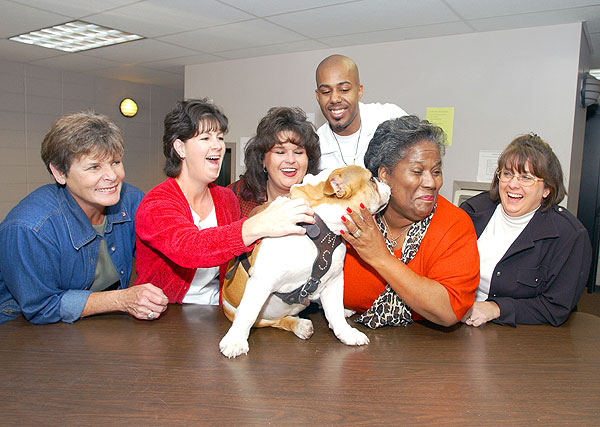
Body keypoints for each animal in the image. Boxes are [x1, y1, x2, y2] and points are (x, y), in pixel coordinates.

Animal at [218, 166, 392, 360]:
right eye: (371, 180)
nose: (386, 183)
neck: (322, 227)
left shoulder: (334, 280)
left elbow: (335, 311)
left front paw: (346, 332)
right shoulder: (262, 281)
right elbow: (247, 314)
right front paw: (235, 341)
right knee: (268, 320)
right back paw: (299, 326)